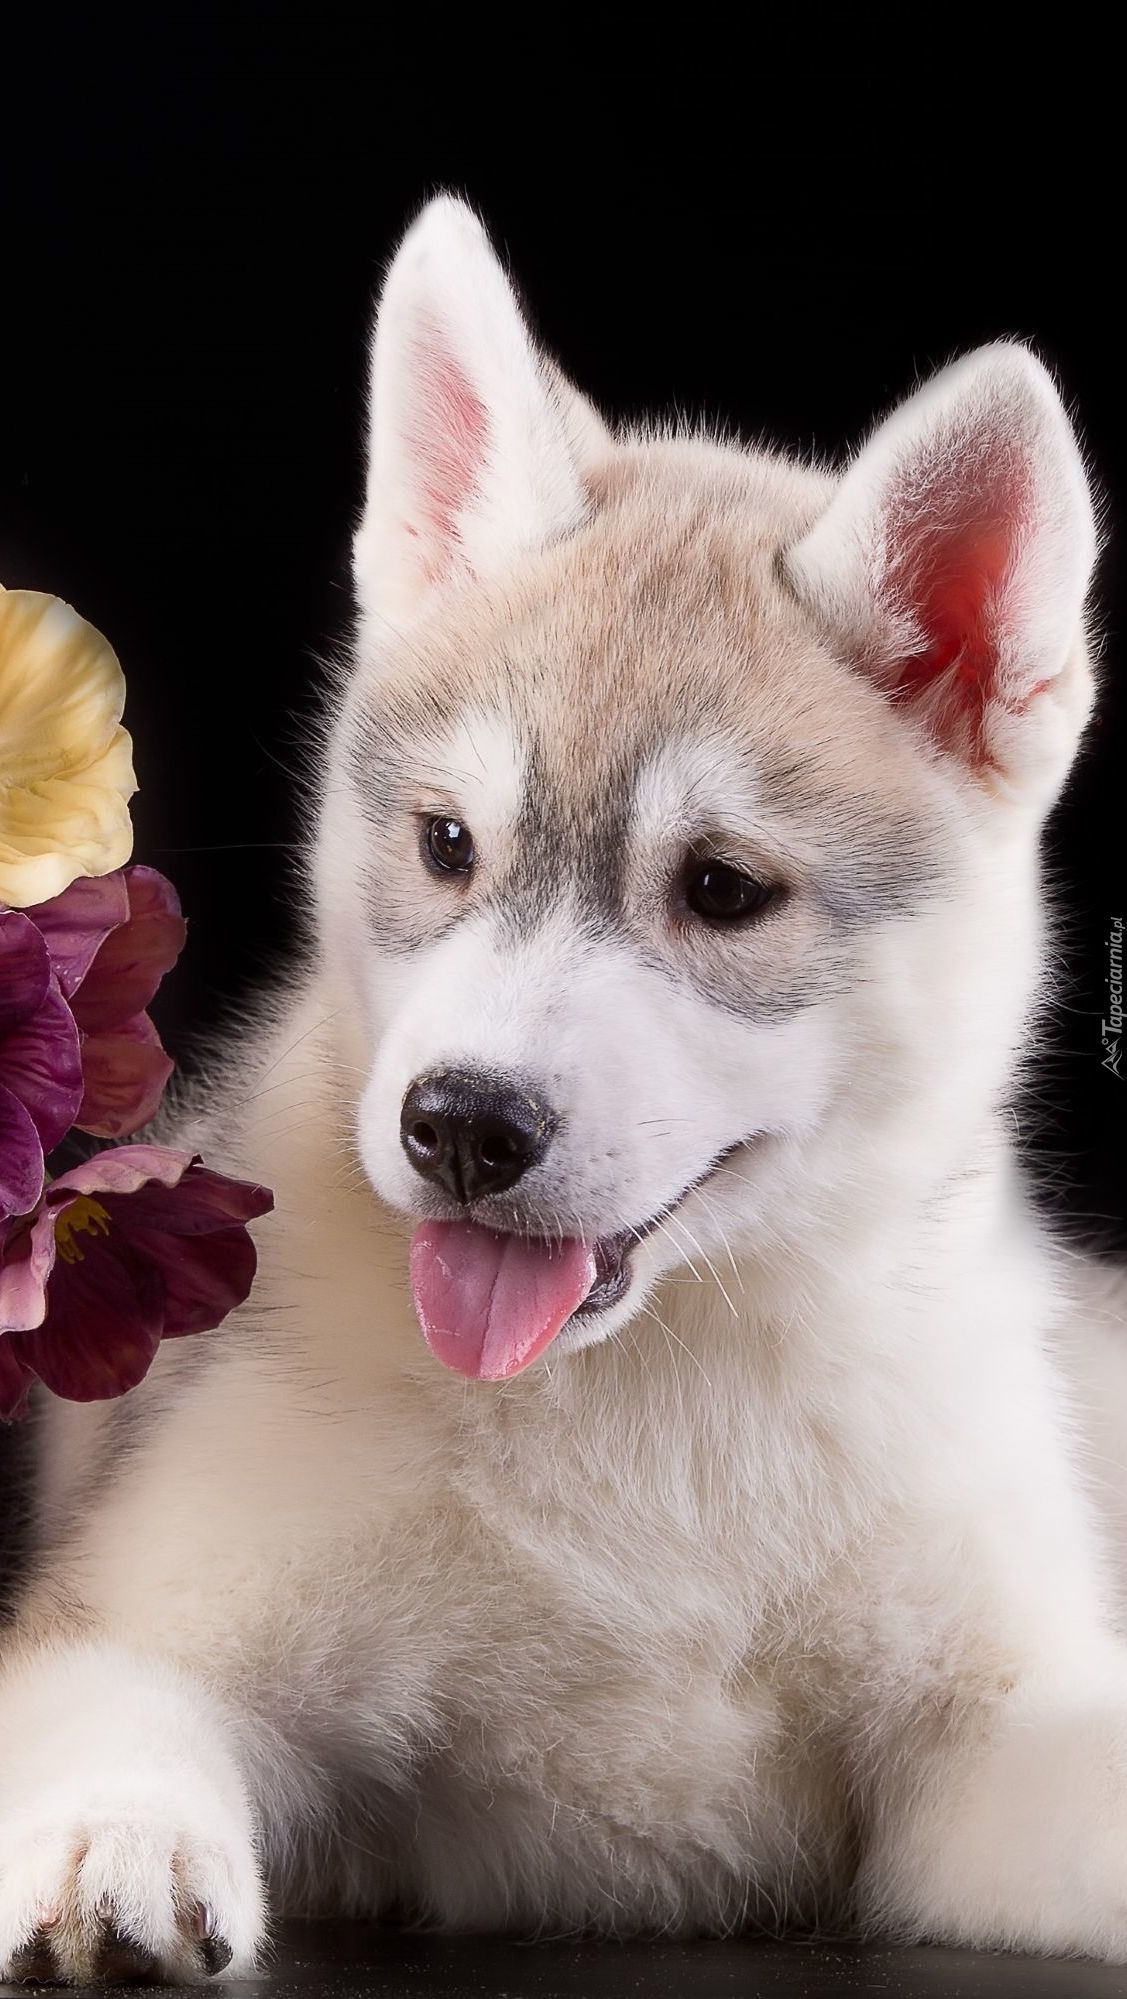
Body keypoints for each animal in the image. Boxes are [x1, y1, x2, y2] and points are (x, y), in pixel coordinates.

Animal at [2, 194, 1127, 1975]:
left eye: (722, 889)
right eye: (448, 841)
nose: (462, 1124)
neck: (646, 1405)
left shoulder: (991, 1733)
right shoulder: (133, 1611)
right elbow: (106, 1718)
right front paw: (109, 1838)